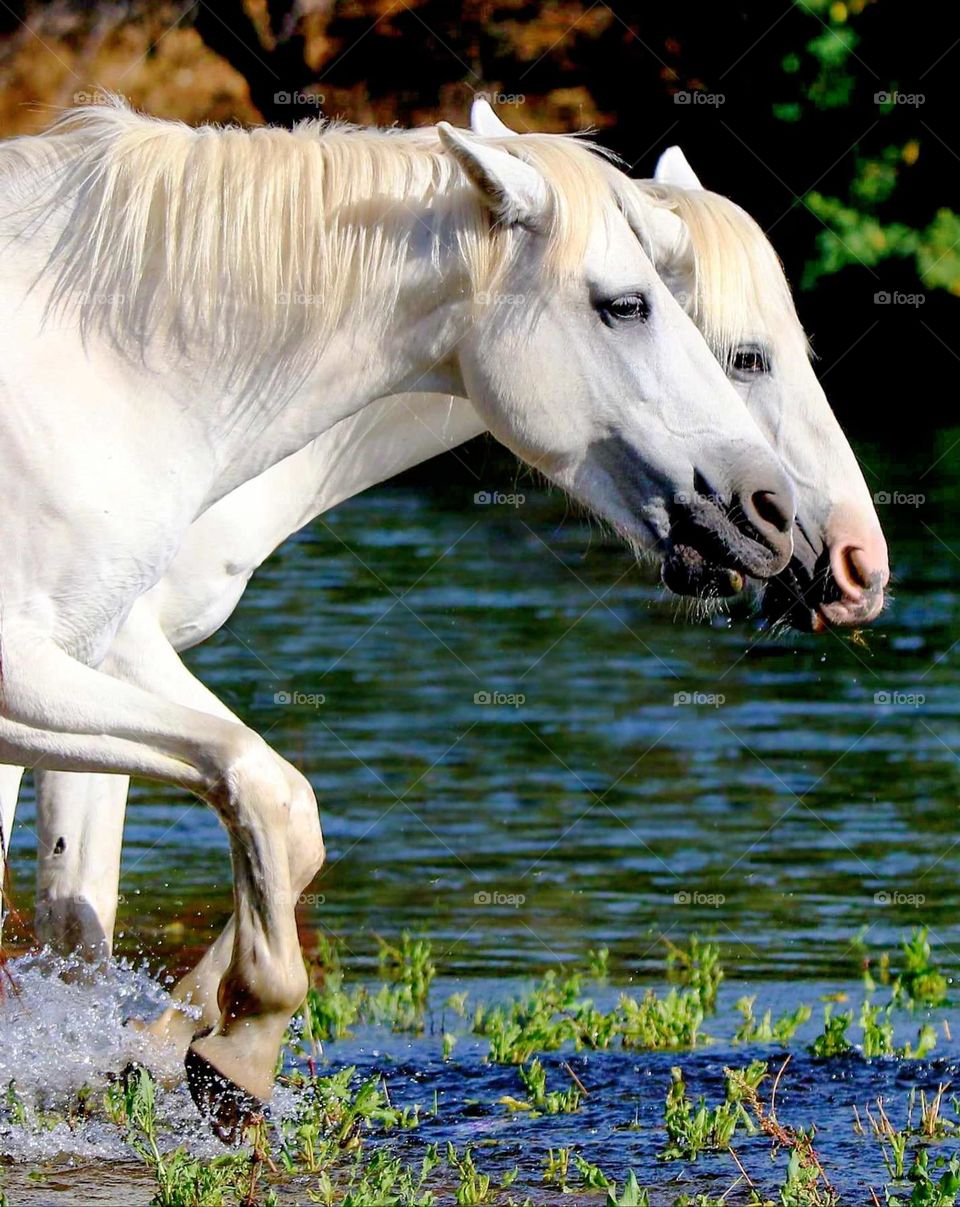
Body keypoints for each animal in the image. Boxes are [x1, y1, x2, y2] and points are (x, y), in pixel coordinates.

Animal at [6, 102, 889, 1079]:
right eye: (743, 355)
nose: (853, 559)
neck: (115, 377)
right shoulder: (89, 654)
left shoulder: (97, 652)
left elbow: (115, 896)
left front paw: (170, 1035)